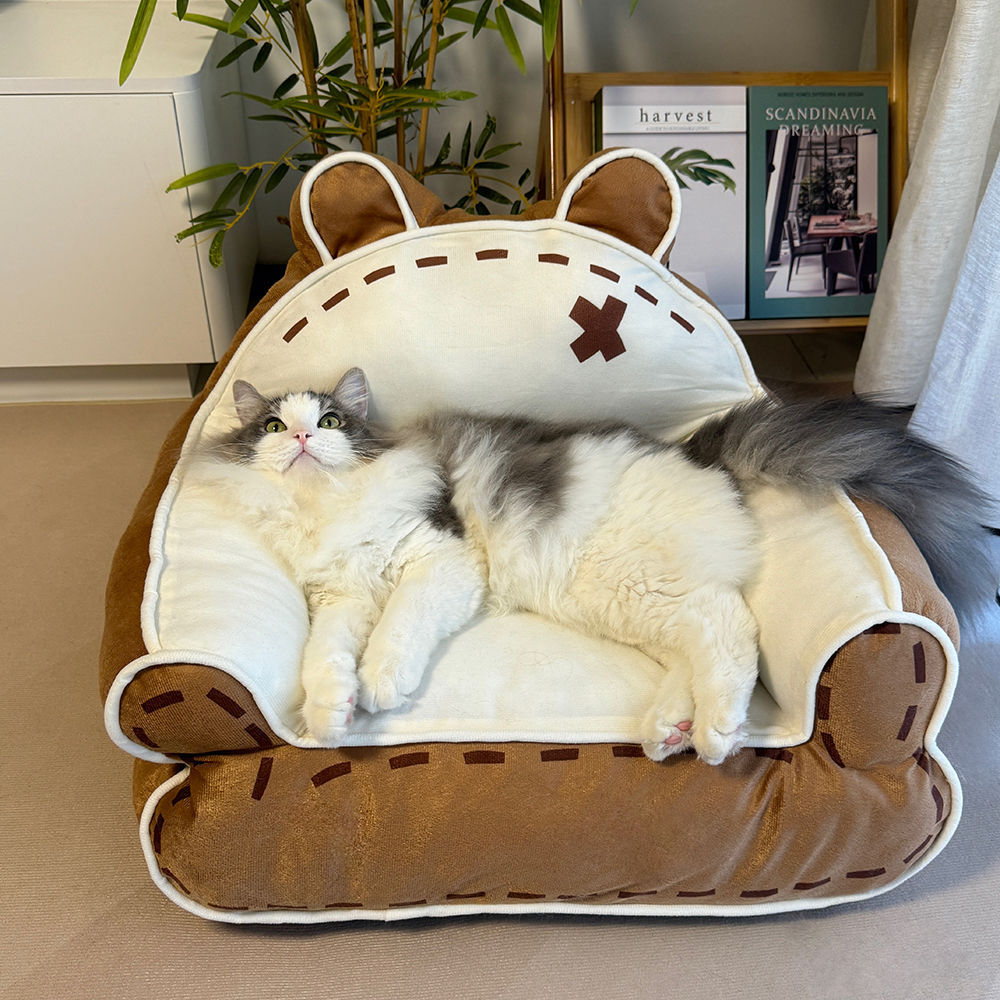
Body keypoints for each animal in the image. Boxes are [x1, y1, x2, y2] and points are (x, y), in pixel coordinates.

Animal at [188, 367, 994, 764]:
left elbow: (399, 629)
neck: (326, 512)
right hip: (622, 597)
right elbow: (324, 658)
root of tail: (700, 453)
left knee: (728, 629)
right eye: (271, 425)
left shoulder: (438, 559)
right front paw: (332, 712)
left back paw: (715, 733)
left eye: (329, 422)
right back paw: (673, 727)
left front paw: (381, 682)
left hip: (622, 578)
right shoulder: (342, 598)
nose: (298, 437)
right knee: (702, 637)